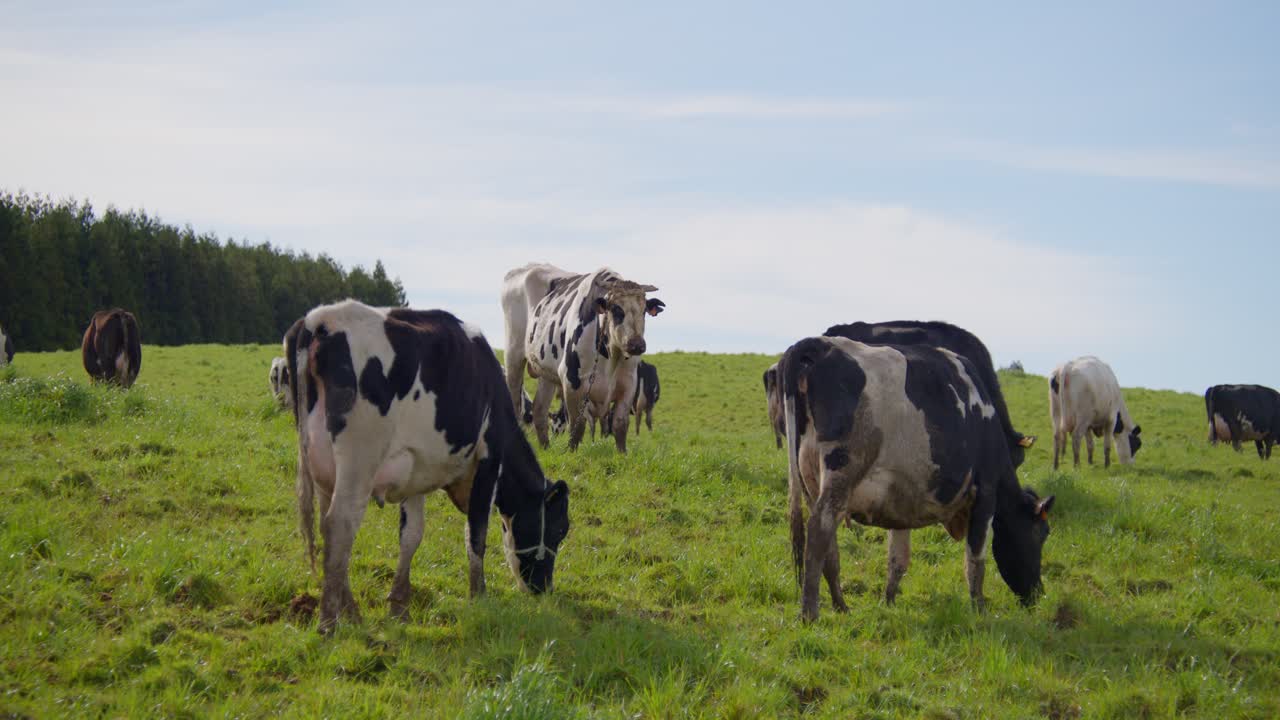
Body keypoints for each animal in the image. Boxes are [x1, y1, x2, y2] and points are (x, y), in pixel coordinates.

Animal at [285, 300, 571, 633]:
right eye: (559, 529)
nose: (544, 588)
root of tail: (318, 320)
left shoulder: (414, 471)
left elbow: (412, 536)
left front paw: (399, 607)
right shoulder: (489, 459)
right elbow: (476, 533)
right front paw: (479, 596)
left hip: (321, 466)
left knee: (325, 528)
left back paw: (350, 611)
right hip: (358, 461)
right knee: (339, 525)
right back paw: (330, 622)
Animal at [501, 263, 665, 452]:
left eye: (644, 310)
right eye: (616, 309)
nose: (636, 344)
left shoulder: (628, 385)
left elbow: (620, 425)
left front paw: (622, 455)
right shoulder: (572, 382)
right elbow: (577, 426)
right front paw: (572, 453)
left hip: (546, 372)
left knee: (539, 410)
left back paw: (545, 448)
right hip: (513, 356)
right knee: (515, 404)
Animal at [779, 336, 1055, 622]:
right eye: (1041, 533)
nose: (1038, 594)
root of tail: (821, 344)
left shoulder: (900, 503)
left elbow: (898, 560)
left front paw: (887, 603)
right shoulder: (986, 494)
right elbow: (976, 560)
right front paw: (979, 609)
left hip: (811, 482)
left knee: (829, 547)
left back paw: (840, 606)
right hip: (841, 472)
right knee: (819, 530)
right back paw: (810, 613)